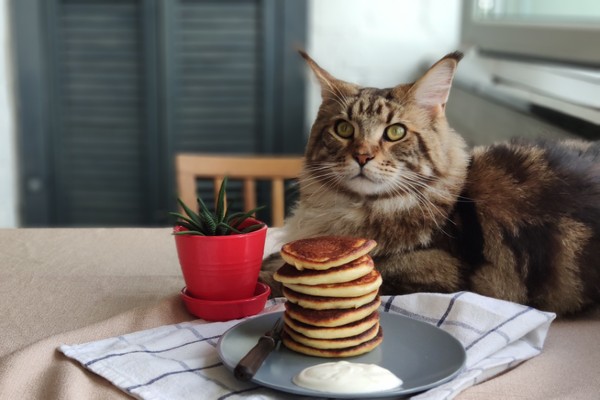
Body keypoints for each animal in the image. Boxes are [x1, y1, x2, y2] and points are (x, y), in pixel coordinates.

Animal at [262, 50, 600, 316]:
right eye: (344, 129)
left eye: (395, 132)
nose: (362, 156)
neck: (353, 208)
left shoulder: (431, 271)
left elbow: (290, 278)